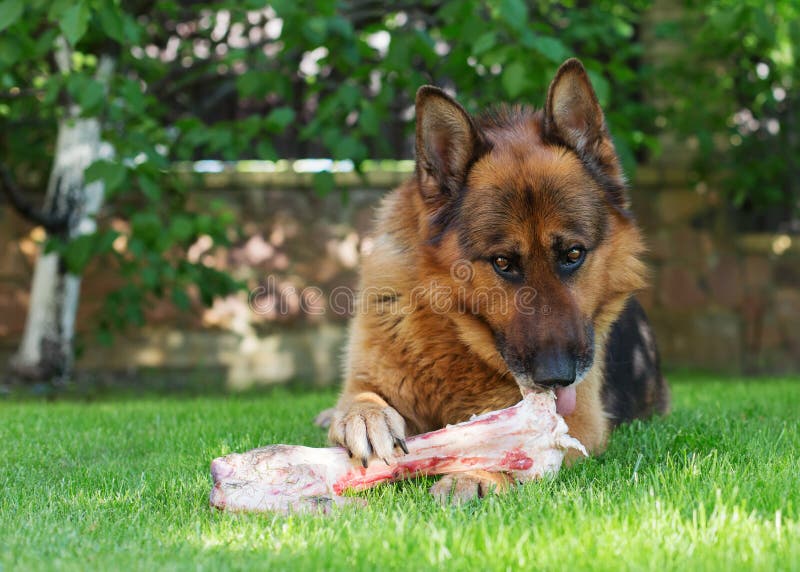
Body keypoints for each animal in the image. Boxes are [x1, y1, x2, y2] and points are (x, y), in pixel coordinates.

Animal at [324, 58, 668, 502]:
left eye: (573, 255)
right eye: (503, 262)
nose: (557, 377)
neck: (455, 339)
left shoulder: (579, 426)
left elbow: (525, 445)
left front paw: (478, 475)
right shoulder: (366, 379)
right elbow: (361, 398)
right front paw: (366, 418)